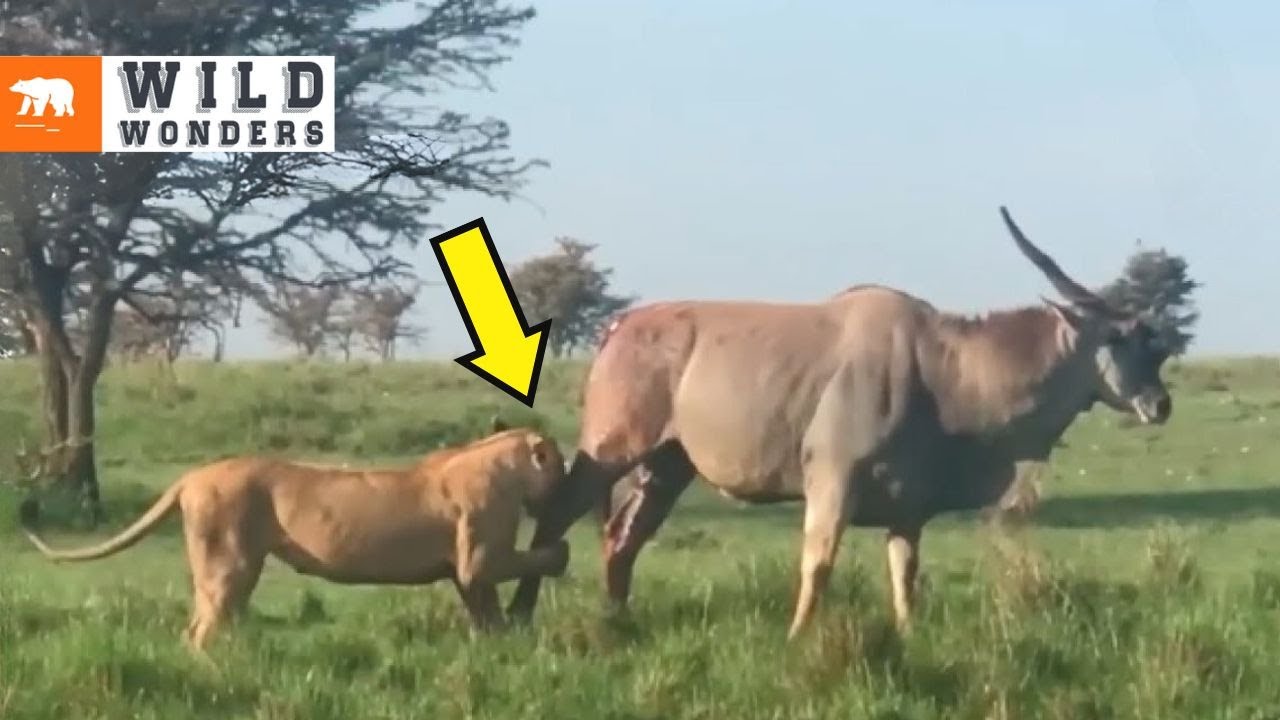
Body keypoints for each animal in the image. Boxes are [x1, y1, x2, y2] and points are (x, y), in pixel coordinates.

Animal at [18, 425, 571, 650]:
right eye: (559, 463)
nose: (566, 482)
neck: (506, 465)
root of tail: (191, 477)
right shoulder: (480, 556)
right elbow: (524, 561)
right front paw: (562, 553)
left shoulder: (466, 572)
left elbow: (486, 613)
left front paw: (497, 647)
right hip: (230, 561)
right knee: (203, 630)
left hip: (225, 569)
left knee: (200, 623)